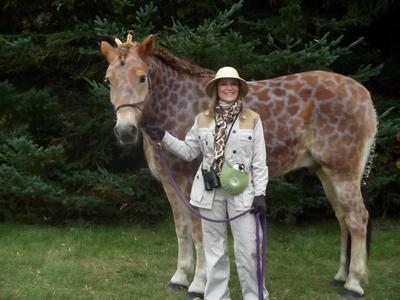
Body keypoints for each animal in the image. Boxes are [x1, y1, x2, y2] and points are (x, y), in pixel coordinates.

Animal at [101, 33, 378, 298]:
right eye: (108, 80)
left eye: (142, 77)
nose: (125, 131)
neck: (176, 105)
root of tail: (364, 96)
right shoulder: (171, 184)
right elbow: (182, 231)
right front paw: (179, 278)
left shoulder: (191, 184)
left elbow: (198, 233)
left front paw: (198, 284)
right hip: (326, 173)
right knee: (343, 217)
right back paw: (341, 276)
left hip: (343, 173)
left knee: (357, 218)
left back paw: (353, 284)